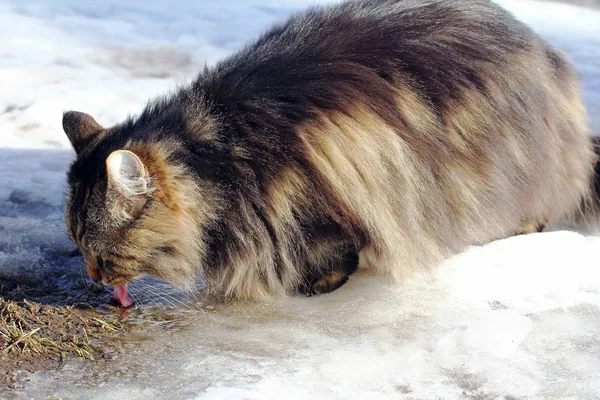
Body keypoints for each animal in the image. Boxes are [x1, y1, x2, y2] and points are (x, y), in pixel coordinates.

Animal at [63, 0, 596, 300]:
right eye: (79, 247)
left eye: (102, 253)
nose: (92, 276)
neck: (221, 152)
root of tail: (550, 57)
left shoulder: (323, 191)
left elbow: (333, 245)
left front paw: (319, 282)